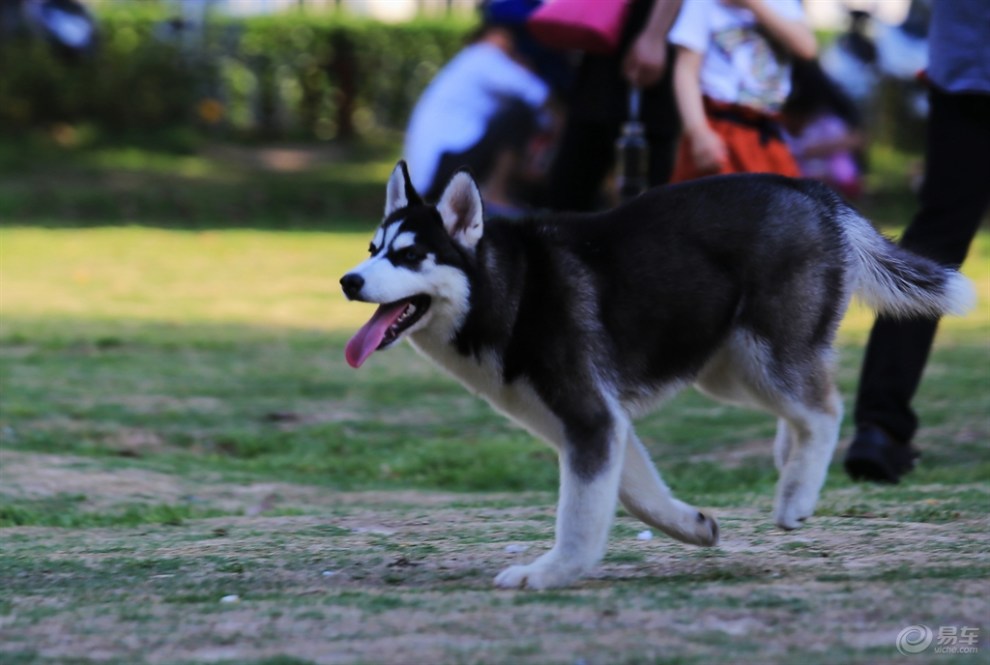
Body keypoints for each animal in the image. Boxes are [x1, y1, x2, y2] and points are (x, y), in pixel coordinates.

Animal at [342, 161, 976, 588]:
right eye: (373, 248)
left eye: (409, 256)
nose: (349, 280)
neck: (510, 290)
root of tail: (811, 190)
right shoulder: (593, 423)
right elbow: (636, 494)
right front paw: (692, 526)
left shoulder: (591, 419)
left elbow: (579, 515)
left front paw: (551, 572)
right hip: (728, 369)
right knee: (805, 404)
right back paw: (791, 461)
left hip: (762, 355)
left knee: (823, 408)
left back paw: (797, 492)